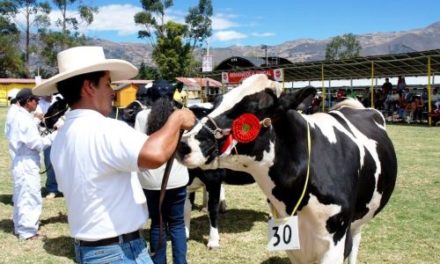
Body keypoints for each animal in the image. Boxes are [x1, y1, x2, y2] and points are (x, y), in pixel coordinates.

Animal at [177, 73, 398, 262]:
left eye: (251, 109)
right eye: (216, 102)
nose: (184, 144)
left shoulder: (335, 242)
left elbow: (211, 208)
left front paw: (213, 241)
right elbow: (185, 208)